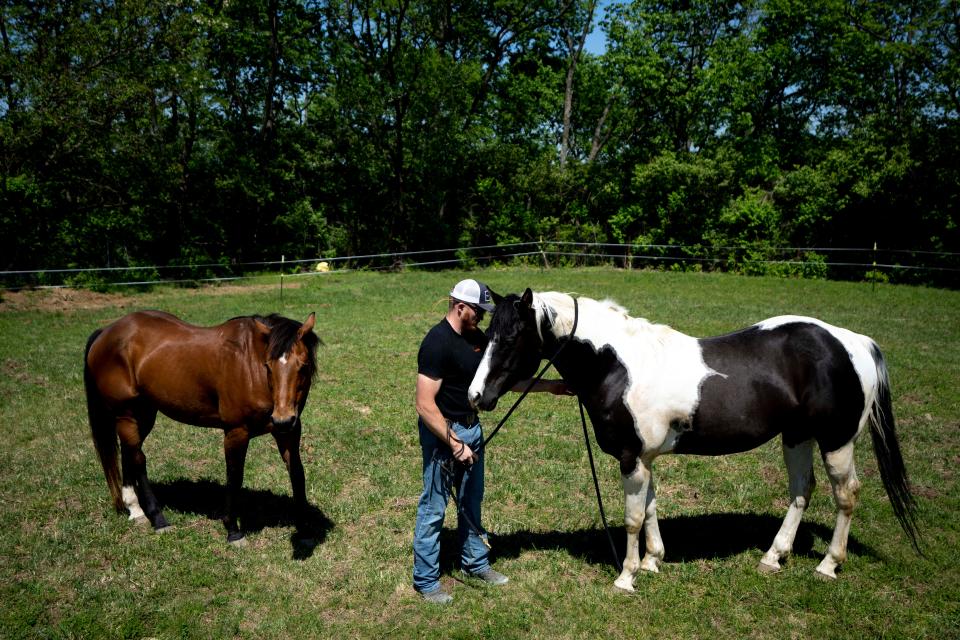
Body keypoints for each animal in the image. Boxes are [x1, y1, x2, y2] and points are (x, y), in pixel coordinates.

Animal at [84, 310, 316, 544]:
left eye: (304, 366)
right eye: (268, 365)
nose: (283, 419)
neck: (249, 364)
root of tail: (105, 332)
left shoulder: (289, 431)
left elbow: (297, 473)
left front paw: (305, 530)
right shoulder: (236, 432)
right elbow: (234, 476)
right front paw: (233, 531)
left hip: (143, 414)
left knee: (129, 453)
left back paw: (135, 510)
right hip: (127, 415)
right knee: (138, 460)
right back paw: (158, 519)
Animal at [468, 288, 920, 592]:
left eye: (510, 338)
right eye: (485, 334)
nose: (476, 396)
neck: (618, 366)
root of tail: (853, 342)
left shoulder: (632, 458)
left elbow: (632, 518)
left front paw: (627, 576)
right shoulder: (645, 458)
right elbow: (650, 509)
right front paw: (653, 561)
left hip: (835, 441)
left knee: (846, 496)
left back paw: (828, 565)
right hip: (797, 436)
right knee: (800, 491)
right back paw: (773, 557)